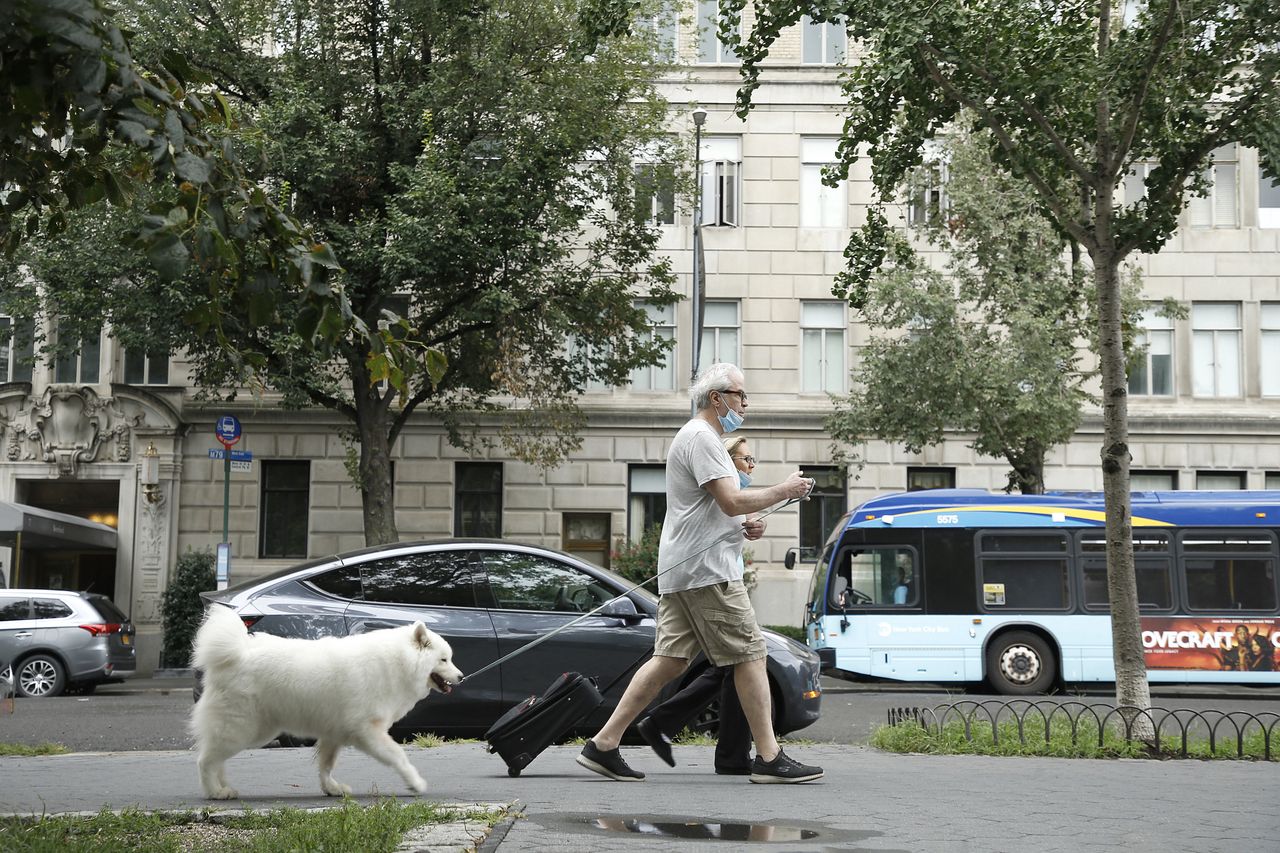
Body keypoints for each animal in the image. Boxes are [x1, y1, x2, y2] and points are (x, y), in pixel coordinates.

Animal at [189, 604, 465, 799]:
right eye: (444, 660)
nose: (462, 677)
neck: (399, 661)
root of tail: (234, 655)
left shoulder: (334, 733)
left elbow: (326, 765)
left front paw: (332, 789)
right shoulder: (368, 730)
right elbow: (398, 755)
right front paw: (415, 782)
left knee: (216, 760)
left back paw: (224, 788)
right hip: (244, 729)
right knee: (205, 760)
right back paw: (215, 792)